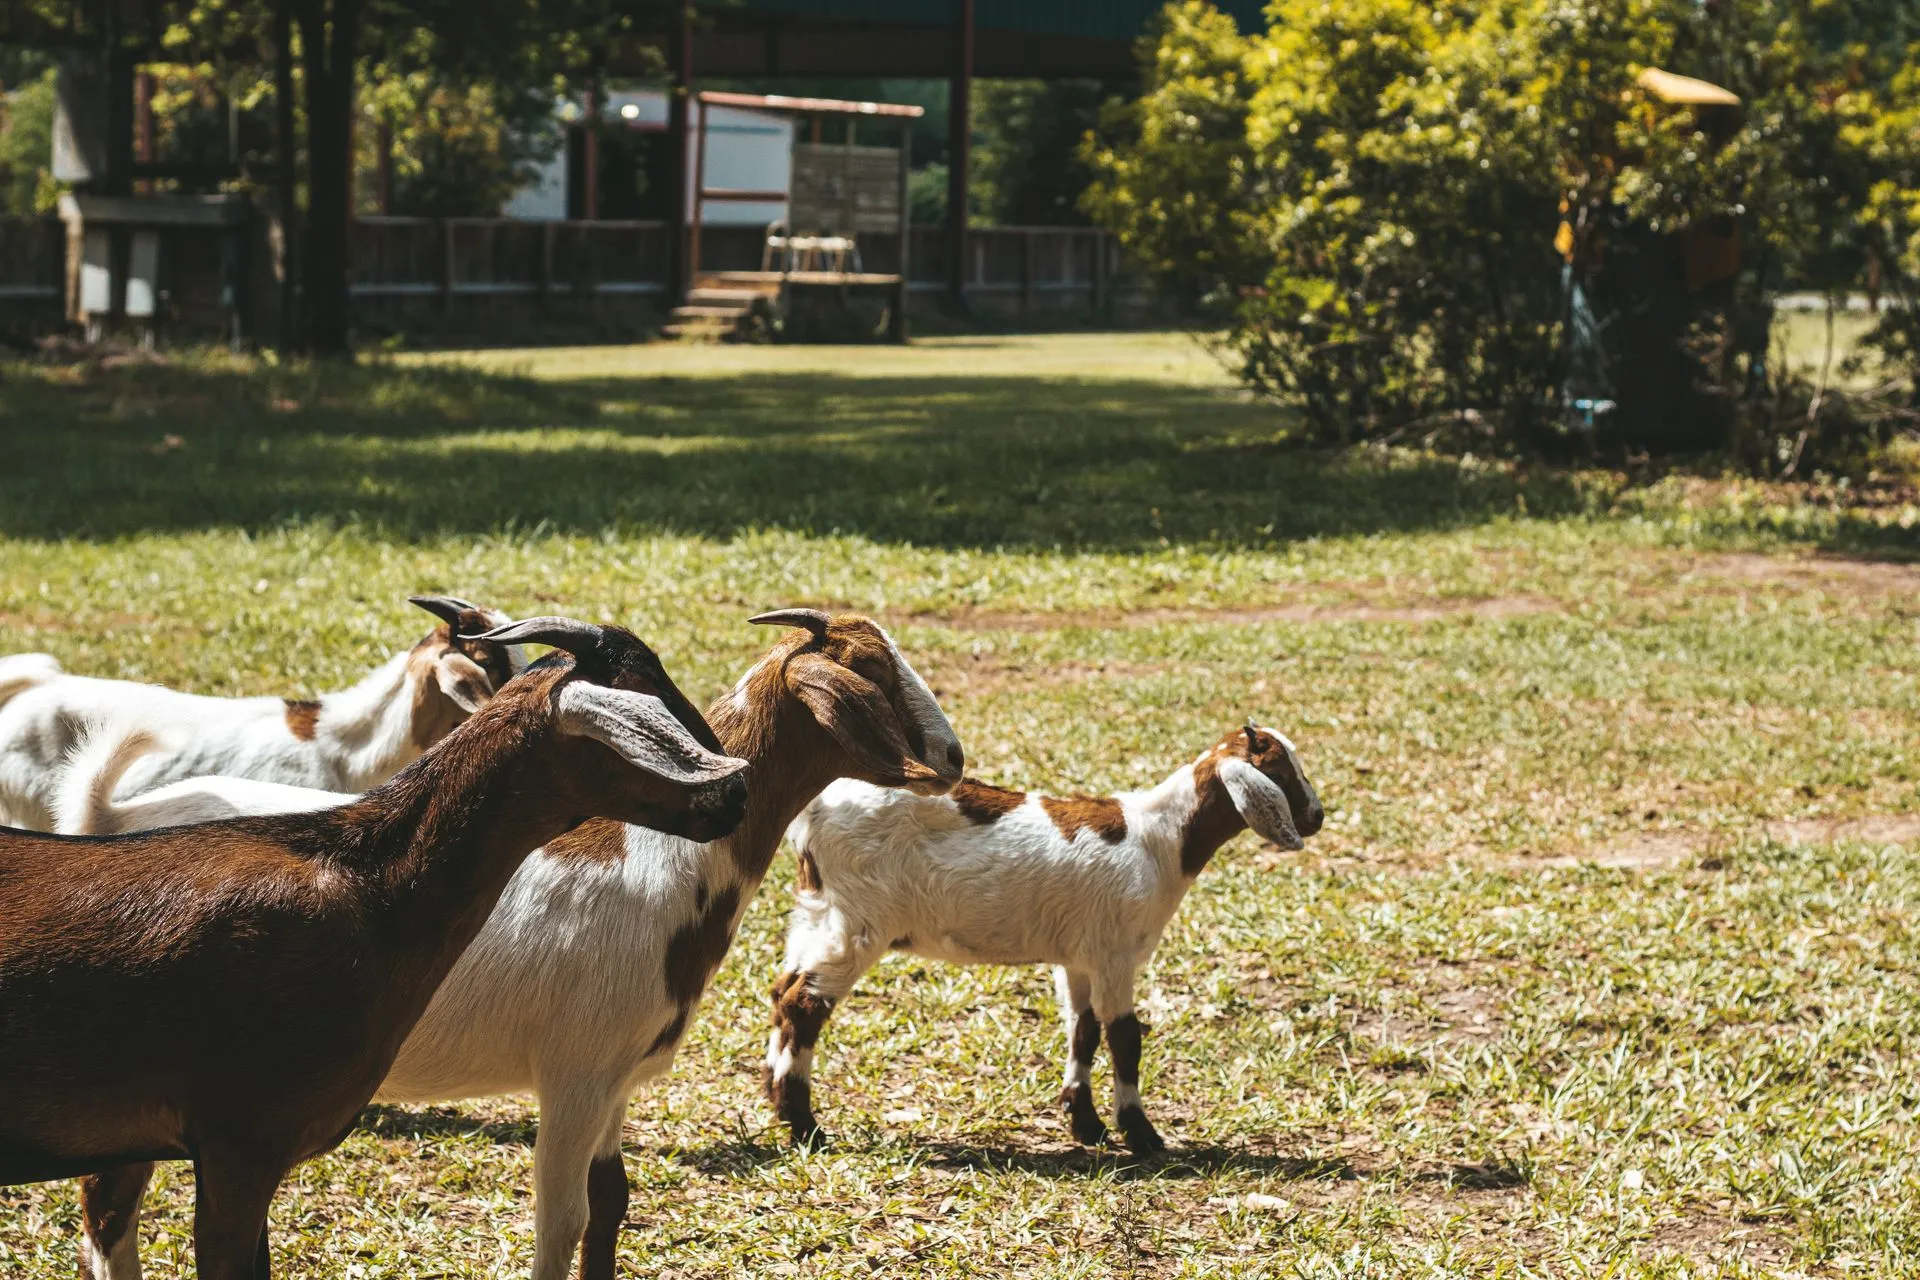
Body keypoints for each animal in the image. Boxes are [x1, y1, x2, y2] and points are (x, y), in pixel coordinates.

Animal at [765, 722, 1323, 1154]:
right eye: (1279, 772)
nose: (1316, 817)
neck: (1163, 838)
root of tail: (812, 813)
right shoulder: (1115, 953)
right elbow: (1125, 1038)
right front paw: (1140, 1133)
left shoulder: (1079, 956)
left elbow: (1084, 1030)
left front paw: (1087, 1124)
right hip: (858, 920)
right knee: (805, 1004)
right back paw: (804, 1124)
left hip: (818, 912)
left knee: (782, 990)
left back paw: (774, 1094)